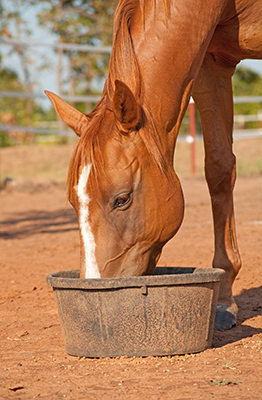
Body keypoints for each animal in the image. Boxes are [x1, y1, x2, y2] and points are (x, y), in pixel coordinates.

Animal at [46, 0, 262, 330]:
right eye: (73, 202)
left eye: (122, 199)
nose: (97, 284)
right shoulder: (211, 64)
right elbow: (219, 168)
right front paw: (225, 303)